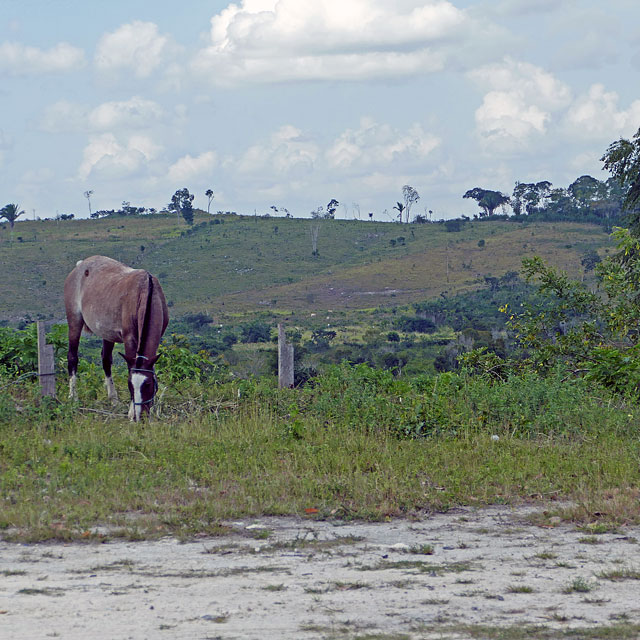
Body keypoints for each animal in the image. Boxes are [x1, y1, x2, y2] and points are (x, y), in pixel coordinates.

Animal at [64, 252, 169, 422]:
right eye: (130, 385)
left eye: (148, 384)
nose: (140, 417)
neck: (145, 291)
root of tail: (80, 266)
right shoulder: (129, 338)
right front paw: (131, 413)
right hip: (74, 321)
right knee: (72, 357)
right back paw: (73, 398)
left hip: (107, 334)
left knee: (106, 360)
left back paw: (114, 400)